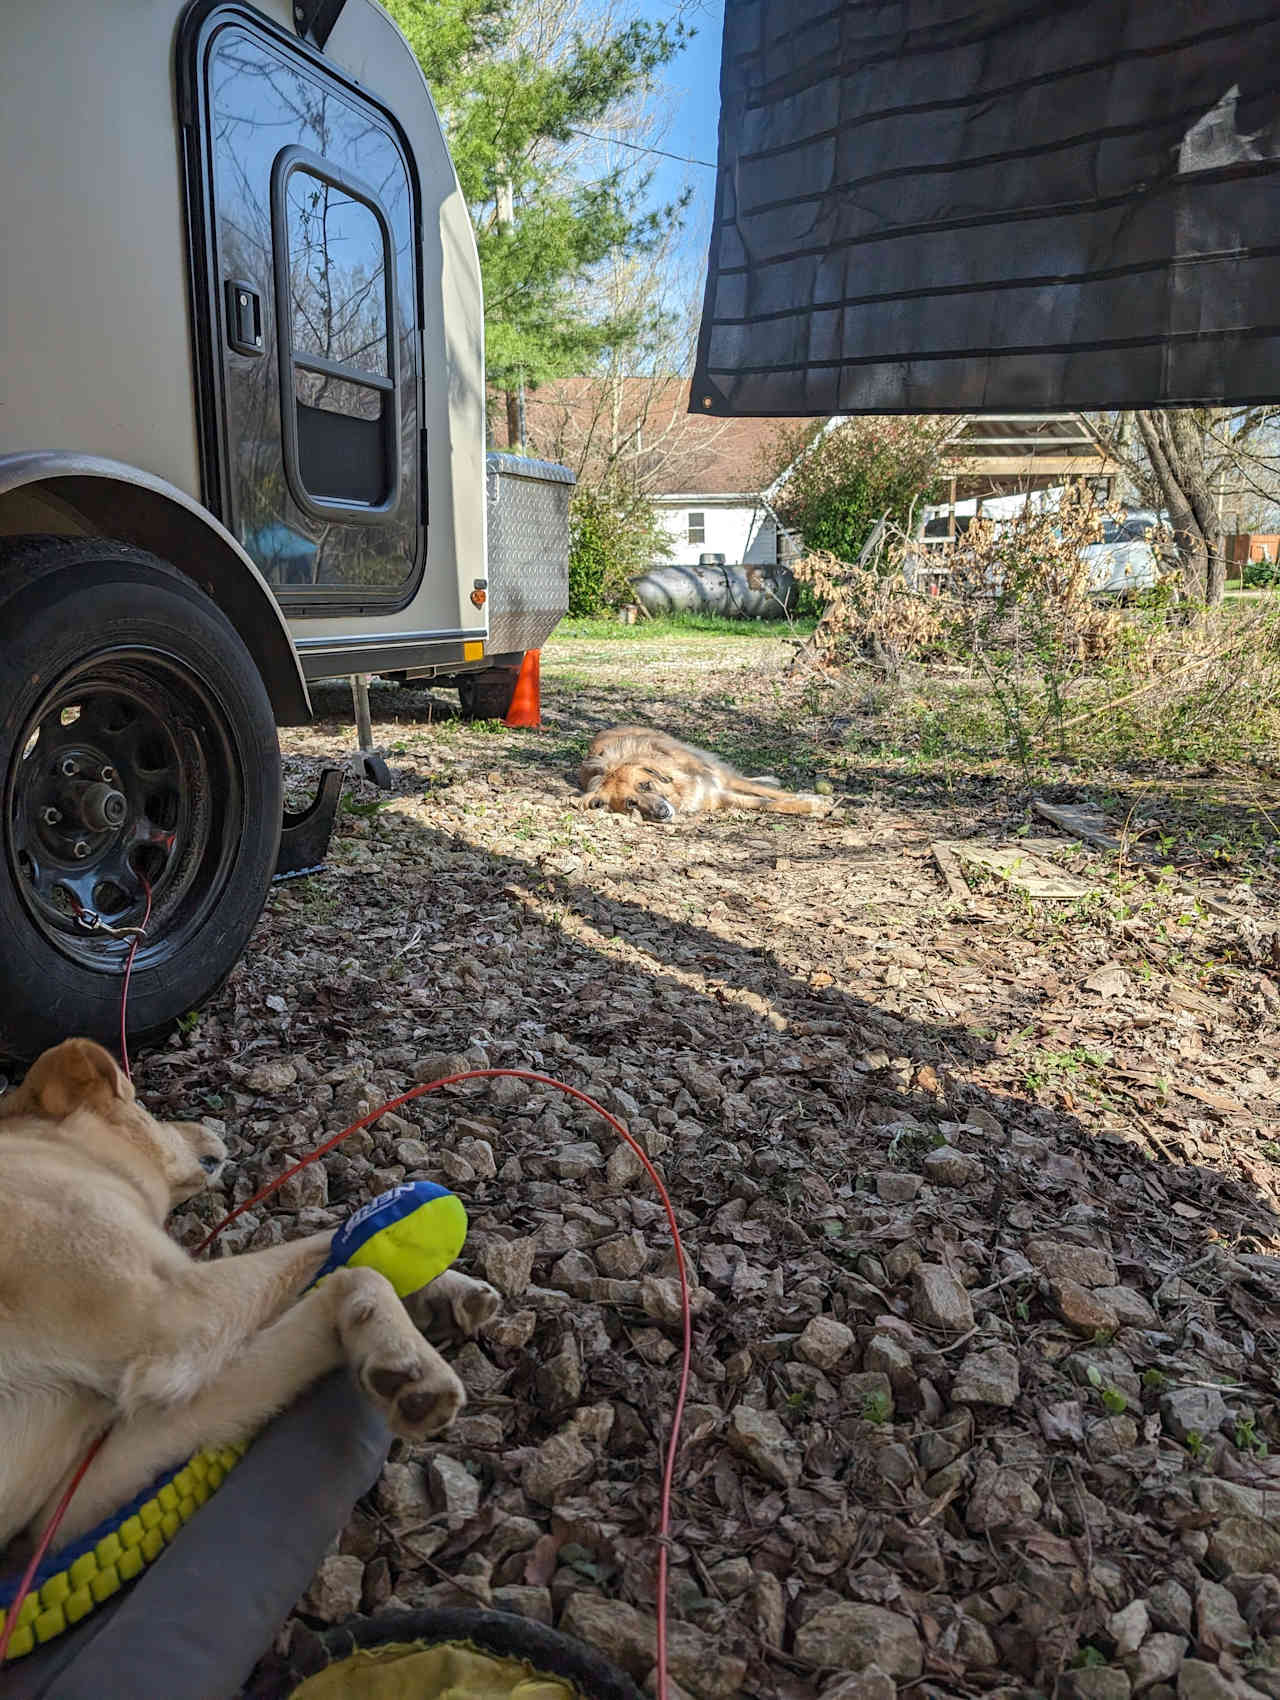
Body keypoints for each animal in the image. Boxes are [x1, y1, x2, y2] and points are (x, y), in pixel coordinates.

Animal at [0, 1033, 499, 1557]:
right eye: (143, 1105)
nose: (210, 1128)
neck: (60, 1151)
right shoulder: (172, 1312)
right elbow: (349, 1262)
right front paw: (405, 1354)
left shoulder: (59, 1519)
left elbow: (334, 1268)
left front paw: (438, 1291)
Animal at [574, 724, 832, 822]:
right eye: (631, 803)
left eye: (645, 785)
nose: (661, 813)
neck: (679, 791)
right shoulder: (720, 797)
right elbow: (765, 803)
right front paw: (811, 805)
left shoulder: (718, 781)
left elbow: (771, 795)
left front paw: (816, 800)